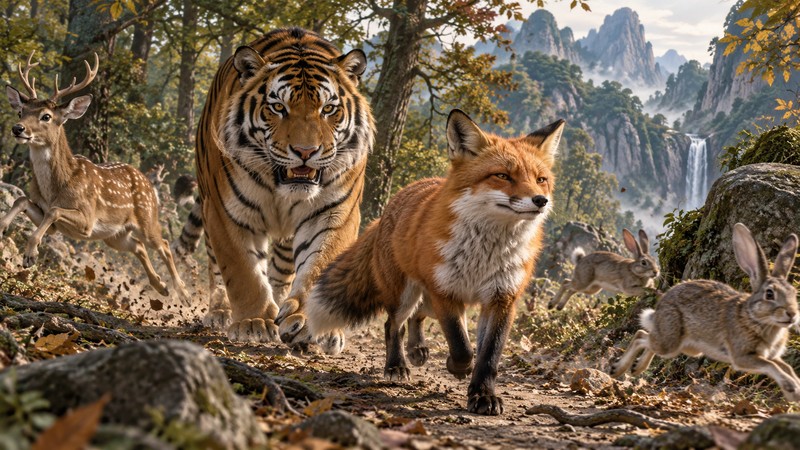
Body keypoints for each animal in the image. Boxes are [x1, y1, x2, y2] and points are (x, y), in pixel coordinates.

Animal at [172, 27, 375, 344]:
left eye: (328, 109)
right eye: (278, 107)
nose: (305, 151)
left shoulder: (334, 213)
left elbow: (319, 264)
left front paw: (309, 322)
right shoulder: (226, 213)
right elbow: (243, 272)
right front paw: (254, 322)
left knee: (282, 271)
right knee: (215, 267)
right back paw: (220, 312)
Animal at [301, 109, 565, 415]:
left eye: (541, 179)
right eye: (502, 176)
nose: (541, 200)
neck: (484, 254)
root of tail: (391, 206)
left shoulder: (502, 298)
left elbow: (489, 355)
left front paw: (483, 394)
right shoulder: (445, 292)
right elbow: (462, 346)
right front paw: (458, 368)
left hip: (427, 295)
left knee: (417, 316)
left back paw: (417, 350)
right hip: (405, 293)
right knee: (394, 325)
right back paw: (397, 365)